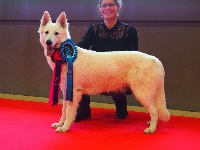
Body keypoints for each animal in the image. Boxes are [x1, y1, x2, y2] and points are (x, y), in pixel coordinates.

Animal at [38, 11, 170, 134]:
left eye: (56, 33)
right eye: (46, 32)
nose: (49, 42)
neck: (66, 56)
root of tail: (155, 60)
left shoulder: (74, 92)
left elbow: (69, 112)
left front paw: (65, 127)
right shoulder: (66, 91)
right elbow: (64, 111)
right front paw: (60, 124)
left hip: (141, 93)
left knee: (155, 111)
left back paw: (151, 129)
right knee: (155, 110)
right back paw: (151, 124)